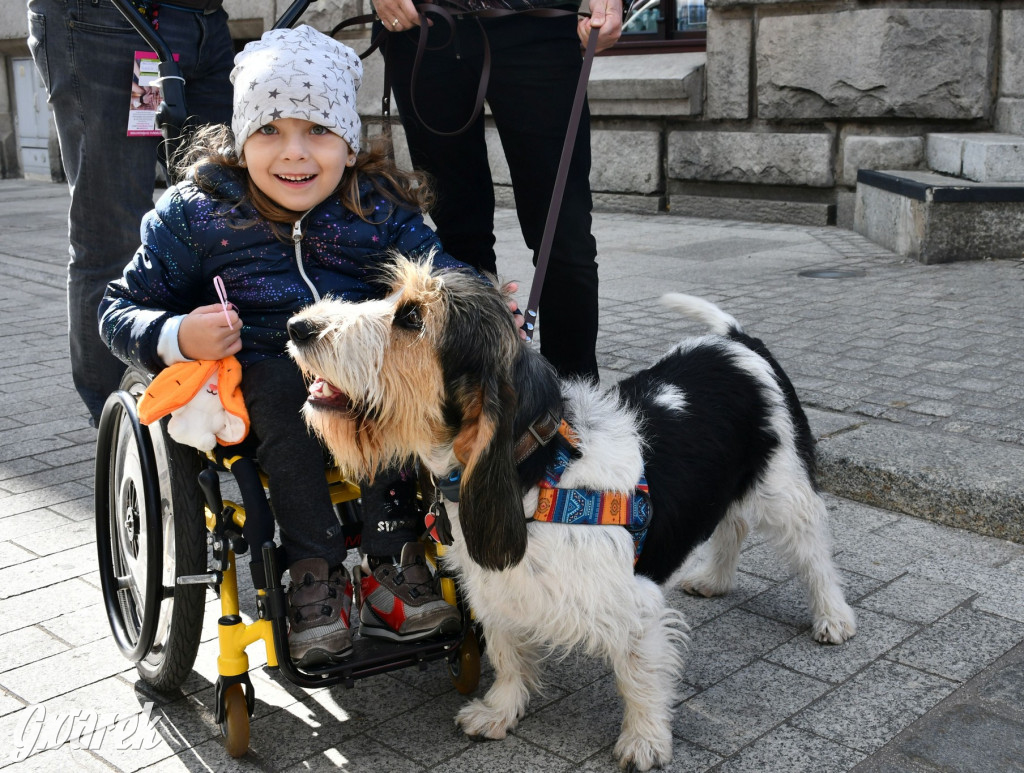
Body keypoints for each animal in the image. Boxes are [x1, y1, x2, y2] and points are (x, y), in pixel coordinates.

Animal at [288, 260, 856, 773]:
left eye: (411, 318)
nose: (296, 326)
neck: (537, 478)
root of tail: (738, 342)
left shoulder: (636, 606)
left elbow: (639, 677)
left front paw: (645, 742)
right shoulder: (498, 590)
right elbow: (507, 653)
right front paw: (500, 711)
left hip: (785, 488)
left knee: (813, 551)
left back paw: (833, 617)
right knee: (732, 523)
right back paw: (715, 579)